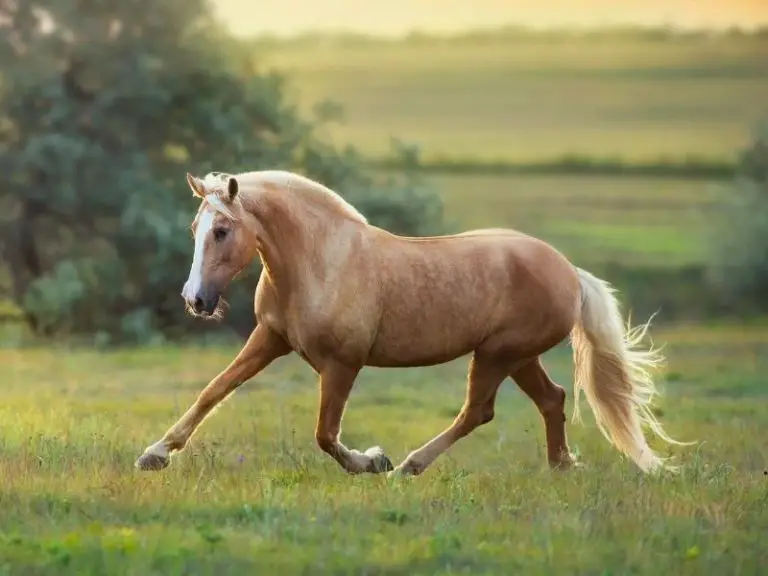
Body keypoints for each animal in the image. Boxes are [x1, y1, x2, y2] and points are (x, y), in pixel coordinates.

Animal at [134, 169, 686, 477]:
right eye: (196, 227)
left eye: (222, 230)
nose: (196, 300)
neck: (320, 260)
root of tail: (569, 271)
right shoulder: (270, 339)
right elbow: (214, 390)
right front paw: (155, 454)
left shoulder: (343, 364)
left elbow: (326, 434)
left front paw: (372, 461)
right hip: (517, 356)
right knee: (552, 399)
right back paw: (560, 467)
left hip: (498, 353)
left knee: (478, 412)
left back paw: (409, 466)